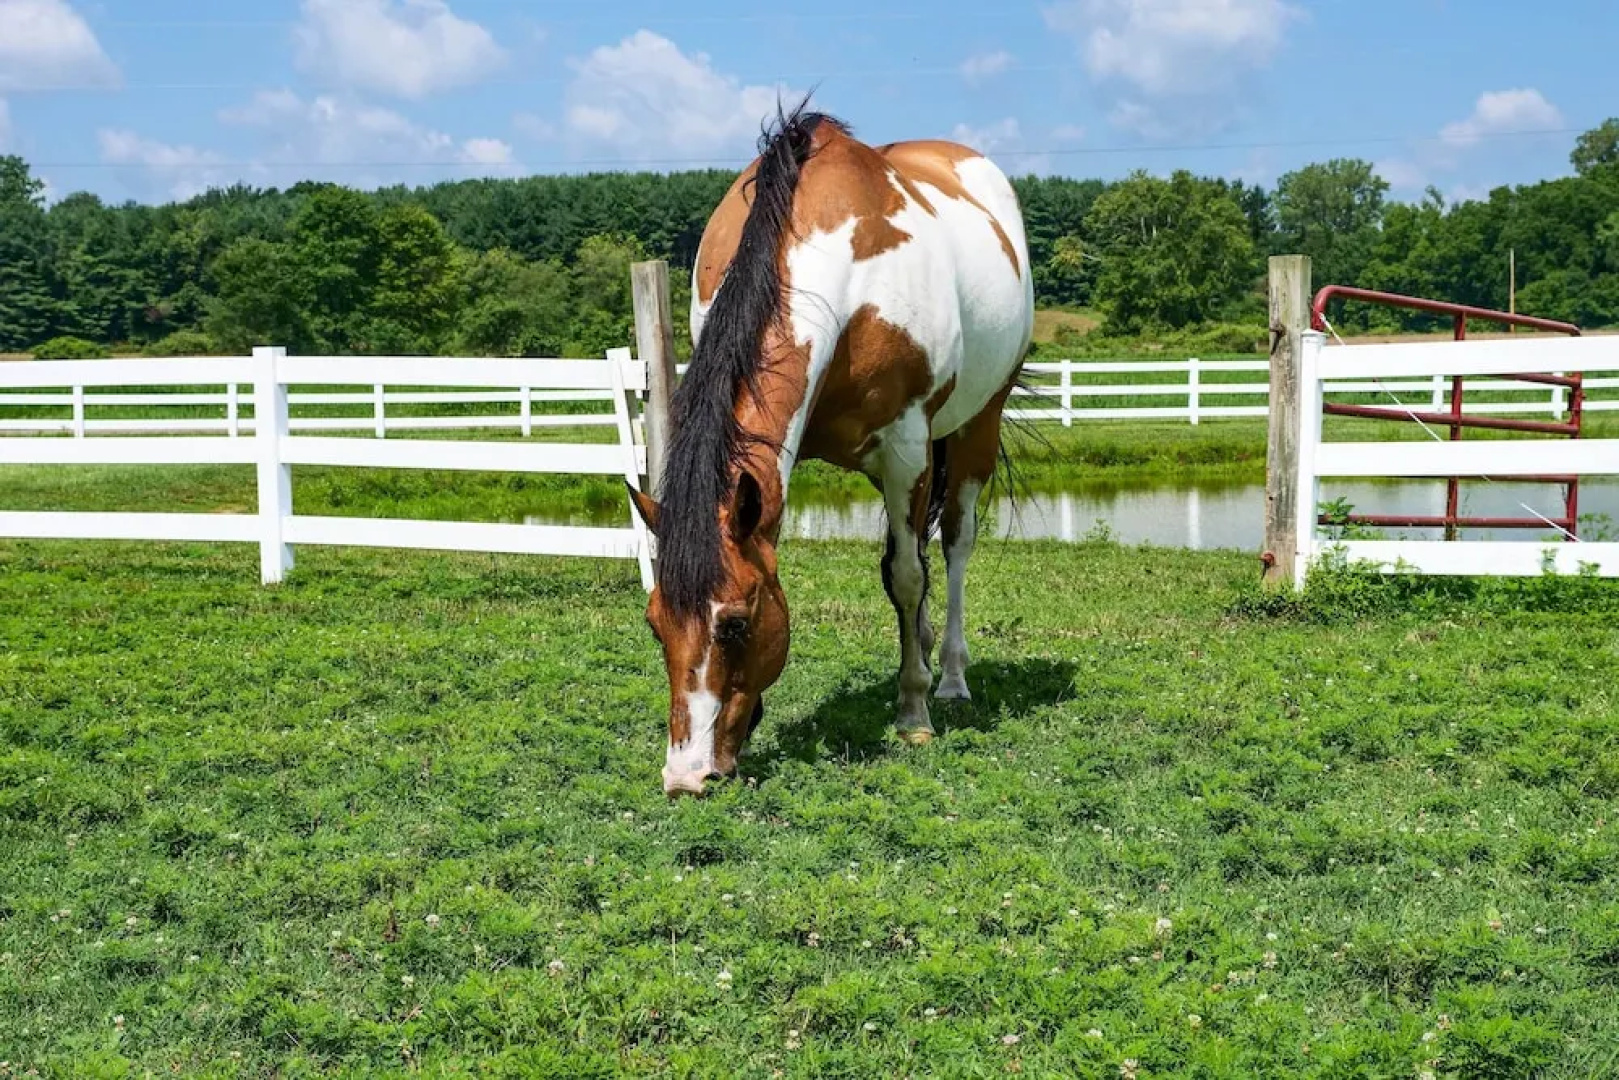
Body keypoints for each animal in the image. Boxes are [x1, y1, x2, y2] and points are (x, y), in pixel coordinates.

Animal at [627, 100, 1035, 797]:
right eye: (655, 624)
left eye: (735, 623)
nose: (686, 776)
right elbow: (891, 571)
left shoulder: (906, 450)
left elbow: (906, 576)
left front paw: (913, 712)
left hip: (975, 424)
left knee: (953, 544)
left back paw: (950, 677)